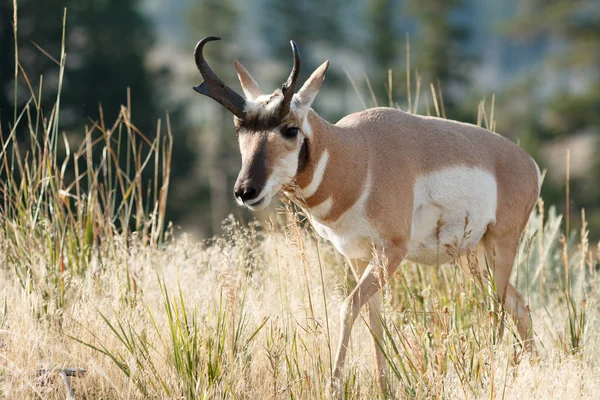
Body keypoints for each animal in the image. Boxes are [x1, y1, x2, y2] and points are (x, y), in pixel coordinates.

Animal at [192, 36, 540, 394]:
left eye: (290, 129)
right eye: (239, 128)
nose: (245, 191)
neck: (359, 155)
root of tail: (527, 162)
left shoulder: (392, 252)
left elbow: (347, 308)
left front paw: (333, 387)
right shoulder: (358, 256)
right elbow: (373, 317)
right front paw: (384, 387)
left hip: (499, 247)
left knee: (499, 306)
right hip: (473, 258)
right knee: (518, 305)